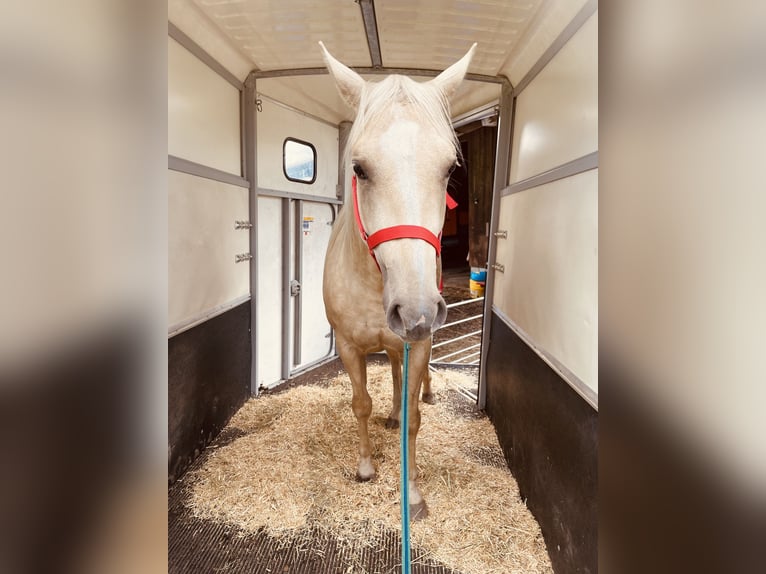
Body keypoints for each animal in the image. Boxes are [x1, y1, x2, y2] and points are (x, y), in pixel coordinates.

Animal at [318, 42, 474, 520]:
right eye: (359, 168)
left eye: (449, 168)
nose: (416, 310)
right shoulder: (349, 346)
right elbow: (361, 404)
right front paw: (367, 466)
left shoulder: (418, 342)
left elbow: (413, 418)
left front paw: (413, 492)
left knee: (409, 382)